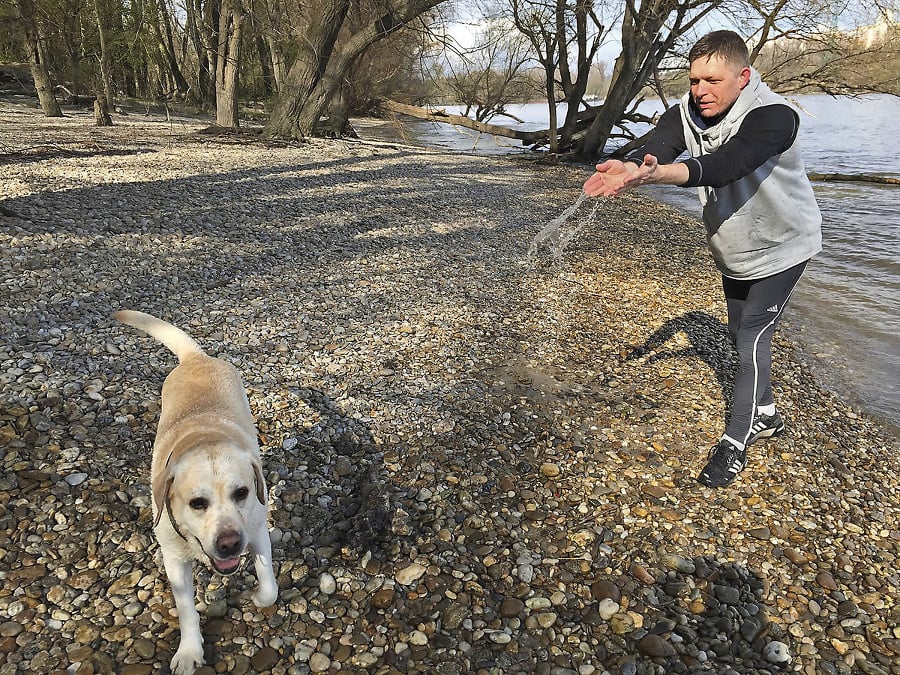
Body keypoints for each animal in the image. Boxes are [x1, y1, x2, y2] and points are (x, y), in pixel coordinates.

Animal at [116, 312, 278, 675]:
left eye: (242, 492)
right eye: (197, 503)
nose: (229, 543)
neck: (204, 437)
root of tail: (195, 358)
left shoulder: (258, 532)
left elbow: (270, 587)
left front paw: (257, 597)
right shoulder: (174, 559)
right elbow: (186, 609)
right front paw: (189, 650)